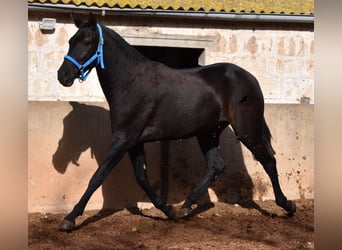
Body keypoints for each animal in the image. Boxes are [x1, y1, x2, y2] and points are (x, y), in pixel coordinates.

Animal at [57, 13, 296, 230]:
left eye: (87, 42)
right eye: (70, 41)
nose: (63, 76)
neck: (130, 82)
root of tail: (250, 78)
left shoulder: (123, 139)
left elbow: (98, 176)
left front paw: (70, 219)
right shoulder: (134, 141)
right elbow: (141, 177)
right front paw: (168, 209)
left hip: (247, 130)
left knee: (268, 161)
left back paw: (287, 205)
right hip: (208, 133)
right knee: (216, 165)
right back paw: (185, 207)